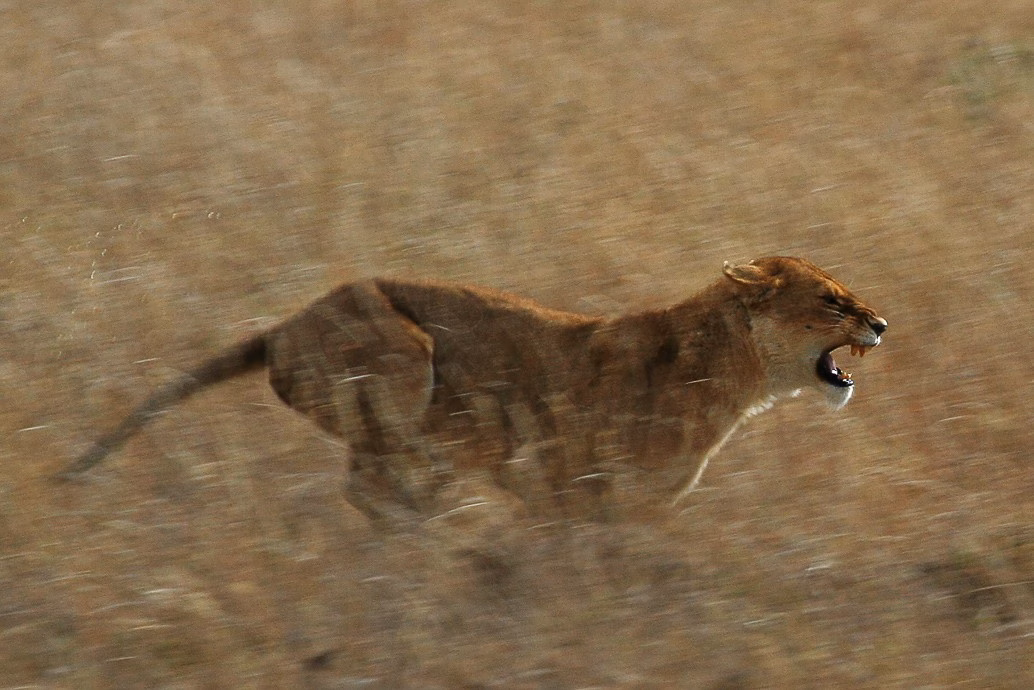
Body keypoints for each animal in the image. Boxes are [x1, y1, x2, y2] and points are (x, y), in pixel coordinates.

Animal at [61, 257, 886, 523]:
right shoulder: (562, 483)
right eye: (831, 301)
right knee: (376, 476)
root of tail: (283, 325)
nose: (881, 322)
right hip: (403, 353)